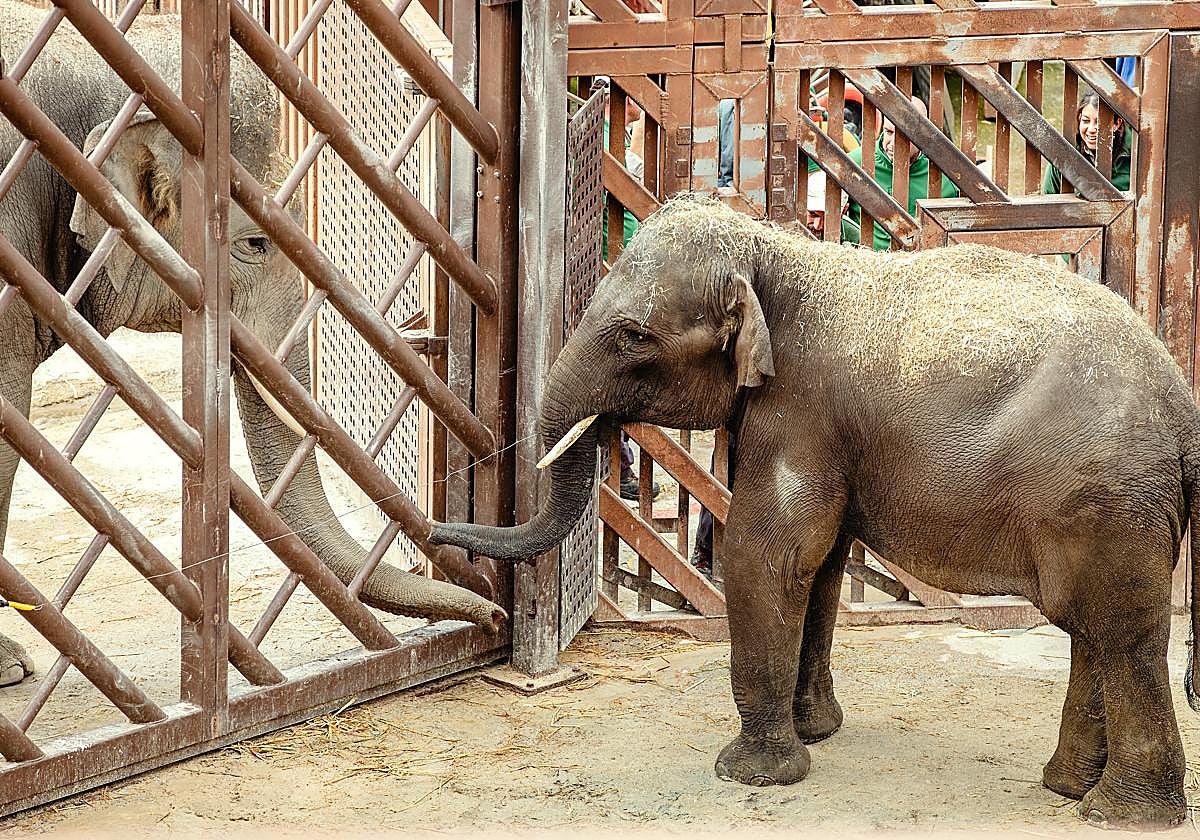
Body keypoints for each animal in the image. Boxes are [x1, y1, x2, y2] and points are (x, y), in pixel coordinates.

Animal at [431, 194, 1200, 830]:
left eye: (633, 337)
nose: (435, 533)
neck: (771, 252)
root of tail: (1183, 407)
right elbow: (821, 567)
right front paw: (816, 733)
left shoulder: (801, 412)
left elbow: (766, 555)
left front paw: (753, 775)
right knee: (1092, 628)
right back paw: (1066, 788)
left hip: (1104, 500)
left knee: (1118, 630)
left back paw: (1119, 813)